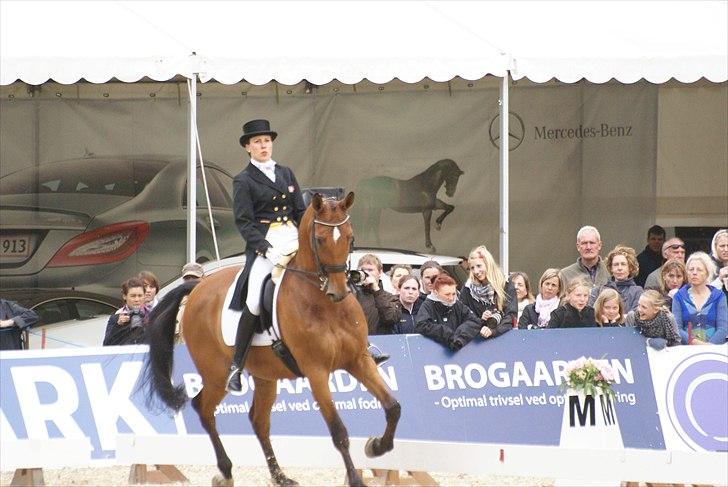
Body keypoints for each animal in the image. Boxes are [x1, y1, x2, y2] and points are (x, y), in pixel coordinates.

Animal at [139, 193, 400, 487]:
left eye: (349, 237)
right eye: (320, 239)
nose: (339, 291)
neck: (325, 305)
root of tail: (198, 287)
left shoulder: (359, 360)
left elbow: (393, 407)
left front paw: (376, 446)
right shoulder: (316, 372)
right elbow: (338, 431)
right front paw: (356, 479)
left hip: (265, 376)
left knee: (258, 420)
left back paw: (279, 476)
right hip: (216, 373)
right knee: (204, 408)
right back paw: (225, 471)